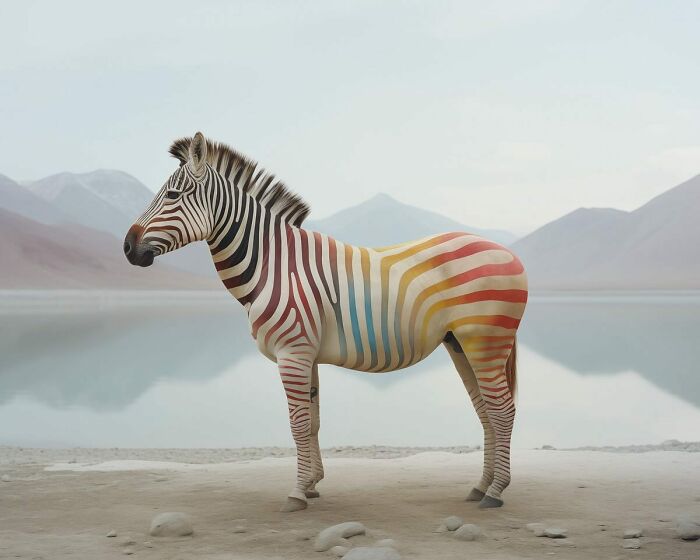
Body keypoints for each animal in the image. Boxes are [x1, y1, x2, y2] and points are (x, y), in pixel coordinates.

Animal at [124, 132, 528, 512]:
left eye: (173, 195)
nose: (127, 248)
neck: (274, 265)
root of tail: (508, 253)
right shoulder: (307, 354)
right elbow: (314, 421)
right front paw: (313, 484)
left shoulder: (292, 353)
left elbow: (298, 423)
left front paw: (296, 493)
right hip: (460, 344)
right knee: (486, 412)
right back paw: (480, 487)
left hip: (485, 342)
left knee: (503, 411)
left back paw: (495, 491)